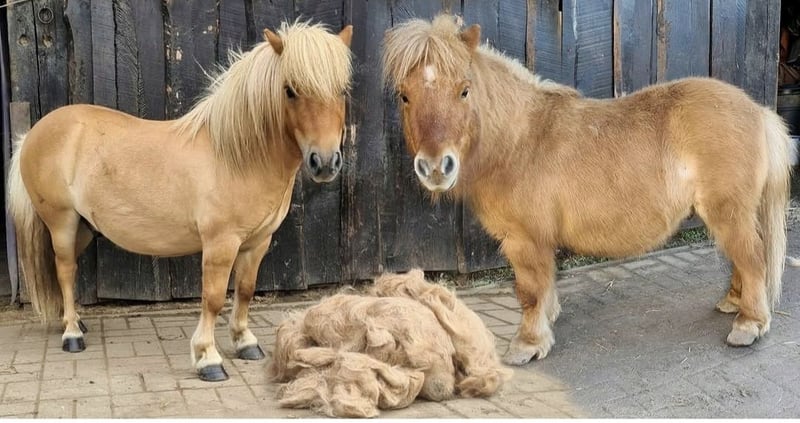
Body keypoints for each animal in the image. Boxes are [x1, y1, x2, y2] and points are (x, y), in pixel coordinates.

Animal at [7, 21, 353, 381]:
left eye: (342, 90)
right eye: (290, 90)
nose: (325, 162)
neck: (236, 156)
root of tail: (32, 134)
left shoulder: (257, 242)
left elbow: (245, 290)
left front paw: (245, 343)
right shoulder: (220, 244)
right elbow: (213, 298)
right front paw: (208, 359)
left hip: (85, 226)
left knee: (66, 271)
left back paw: (74, 321)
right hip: (61, 221)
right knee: (65, 270)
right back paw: (72, 335)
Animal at [381, 14, 795, 365]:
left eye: (464, 91)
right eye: (404, 95)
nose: (436, 167)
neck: (519, 142)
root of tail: (758, 110)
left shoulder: (524, 240)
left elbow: (529, 292)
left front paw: (527, 344)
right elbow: (544, 286)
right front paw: (547, 321)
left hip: (728, 212)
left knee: (752, 258)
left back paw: (749, 324)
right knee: (744, 258)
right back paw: (733, 303)